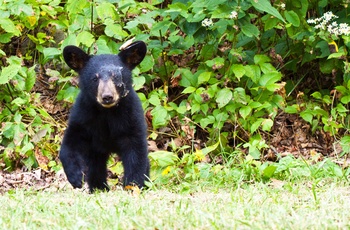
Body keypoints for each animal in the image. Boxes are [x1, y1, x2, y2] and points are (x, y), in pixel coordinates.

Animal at [59, 41, 149, 192]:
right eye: (94, 78)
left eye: (116, 76)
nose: (107, 97)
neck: (107, 112)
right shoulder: (83, 115)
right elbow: (71, 141)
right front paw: (76, 177)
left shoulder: (130, 117)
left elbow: (136, 153)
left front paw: (133, 185)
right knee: (96, 167)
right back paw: (98, 187)